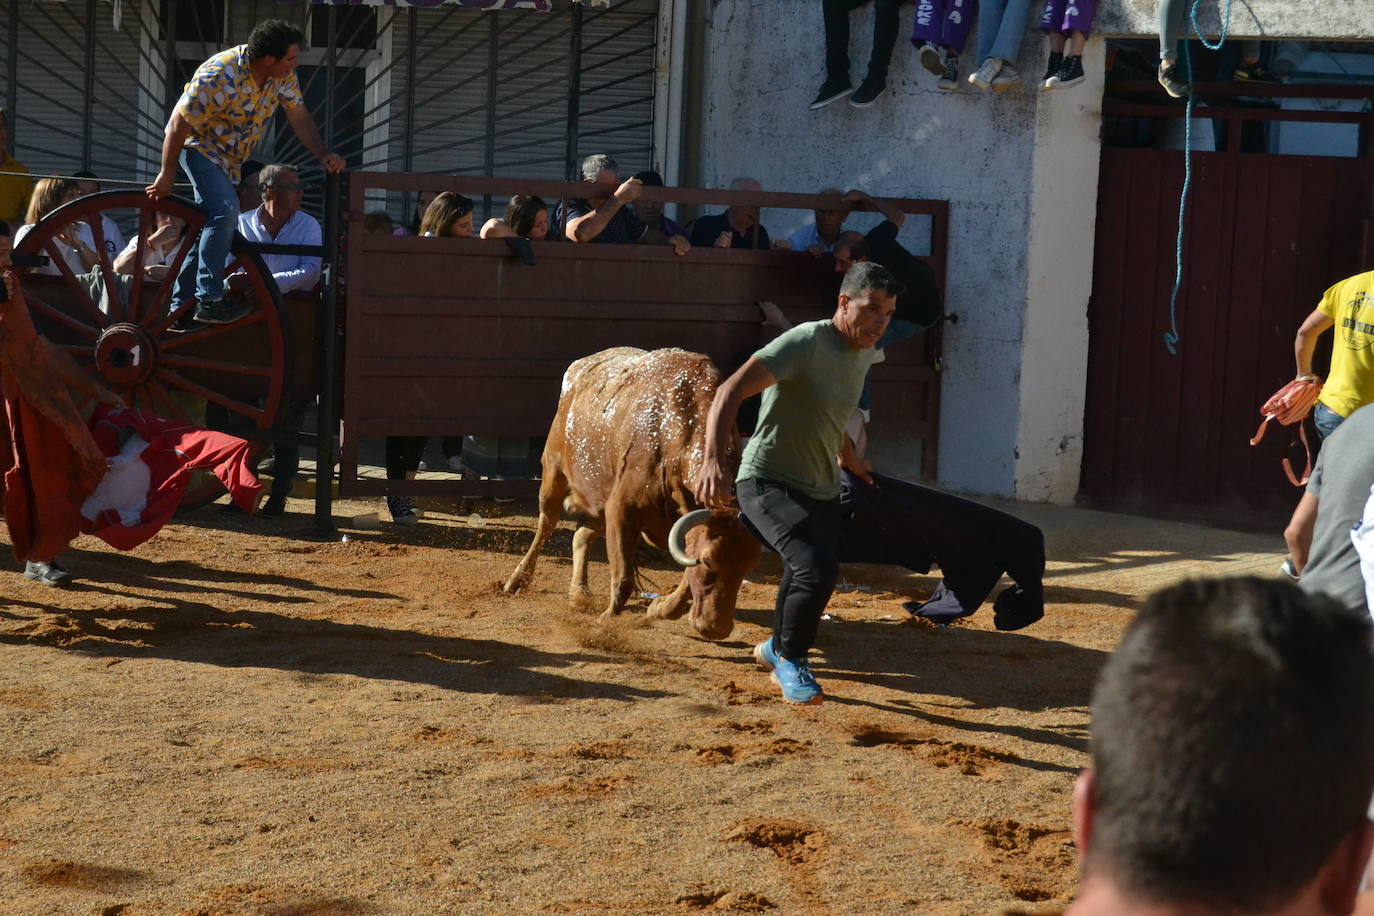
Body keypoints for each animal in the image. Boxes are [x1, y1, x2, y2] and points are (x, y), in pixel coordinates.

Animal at [505, 347, 763, 642]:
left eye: (749, 566)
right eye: (709, 560)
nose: (717, 629)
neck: (675, 430)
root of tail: (579, 366)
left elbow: (687, 581)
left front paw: (661, 608)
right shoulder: (622, 509)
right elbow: (624, 576)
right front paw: (606, 619)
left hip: (598, 501)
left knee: (582, 535)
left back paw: (579, 592)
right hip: (553, 474)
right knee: (546, 524)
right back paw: (517, 580)